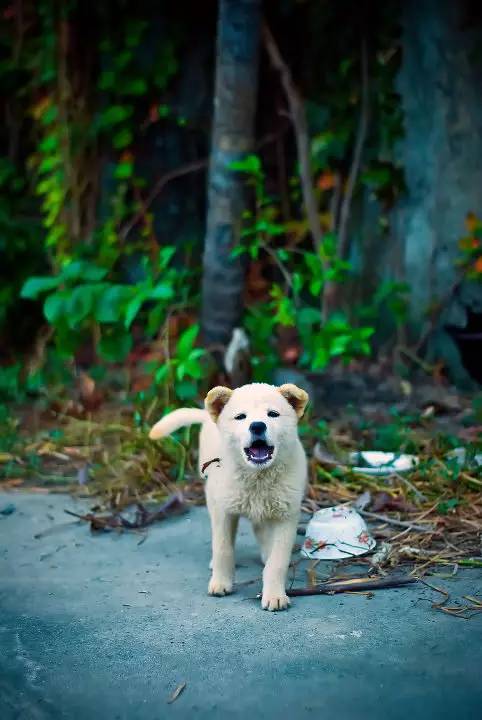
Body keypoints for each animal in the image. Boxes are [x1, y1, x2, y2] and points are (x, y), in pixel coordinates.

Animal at [150, 380, 308, 612]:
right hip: (213, 494)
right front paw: (221, 583)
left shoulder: (286, 516)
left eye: (273, 414)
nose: (257, 426)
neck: (257, 477)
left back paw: (265, 552)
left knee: (260, 528)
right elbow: (223, 548)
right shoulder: (224, 511)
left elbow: (277, 561)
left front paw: (274, 595)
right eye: (241, 417)